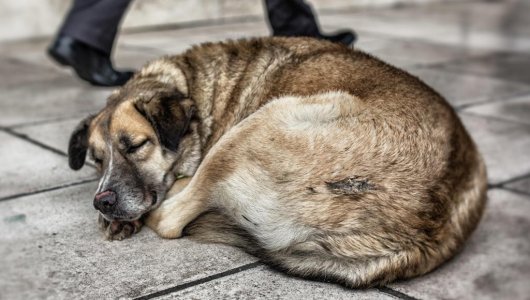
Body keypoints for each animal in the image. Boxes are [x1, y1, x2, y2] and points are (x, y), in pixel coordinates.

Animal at [68, 36, 484, 288]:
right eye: (96, 159)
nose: (102, 201)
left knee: (171, 217)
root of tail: (428, 230)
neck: (198, 92)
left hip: (261, 121)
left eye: (136, 145)